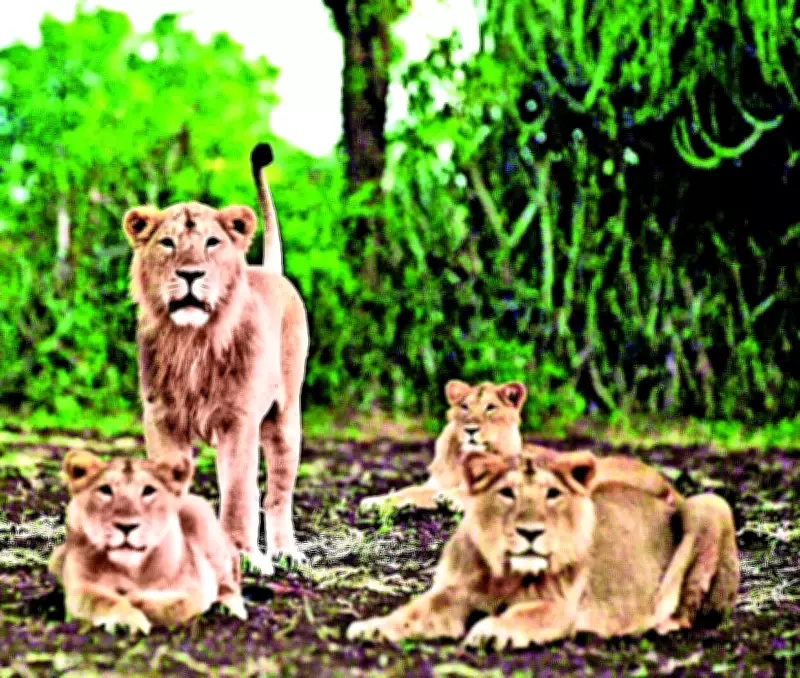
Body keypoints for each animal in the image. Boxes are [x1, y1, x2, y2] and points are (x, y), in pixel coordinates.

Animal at [49, 450, 246, 634]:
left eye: (148, 490)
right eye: (105, 490)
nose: (126, 526)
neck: (130, 569)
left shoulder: (195, 589)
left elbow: (173, 605)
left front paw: (135, 600)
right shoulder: (80, 587)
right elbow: (101, 601)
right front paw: (126, 620)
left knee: (229, 583)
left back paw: (230, 608)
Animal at [121, 143, 309, 574]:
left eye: (211, 242)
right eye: (167, 243)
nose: (191, 274)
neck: (192, 342)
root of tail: (271, 272)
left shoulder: (239, 421)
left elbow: (239, 494)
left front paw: (244, 557)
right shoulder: (161, 419)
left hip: (284, 421)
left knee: (276, 494)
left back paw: (284, 553)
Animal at [347, 446, 739, 648]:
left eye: (552, 494)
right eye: (507, 493)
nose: (530, 532)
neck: (504, 571)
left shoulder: (560, 607)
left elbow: (523, 615)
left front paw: (492, 630)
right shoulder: (454, 591)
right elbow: (414, 611)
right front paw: (374, 627)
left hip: (710, 502)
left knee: (689, 605)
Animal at [359, 380, 527, 513]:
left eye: (491, 407)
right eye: (465, 406)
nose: (470, 429)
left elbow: (474, 494)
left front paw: (451, 498)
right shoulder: (438, 484)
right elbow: (409, 490)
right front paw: (377, 501)